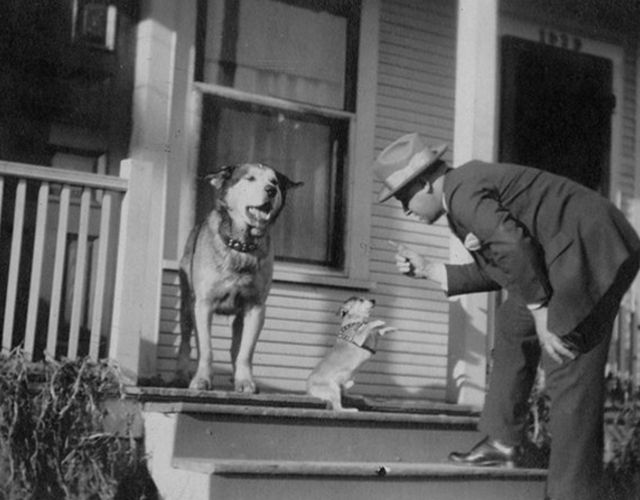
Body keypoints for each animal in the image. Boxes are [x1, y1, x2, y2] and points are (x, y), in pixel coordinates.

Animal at [176, 162, 304, 392]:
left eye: (274, 182)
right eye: (250, 178)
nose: (271, 190)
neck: (241, 246)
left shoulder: (255, 307)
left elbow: (245, 352)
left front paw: (244, 381)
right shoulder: (203, 304)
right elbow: (206, 349)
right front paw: (201, 379)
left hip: (239, 317)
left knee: (236, 346)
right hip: (187, 305)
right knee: (184, 340)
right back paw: (181, 375)